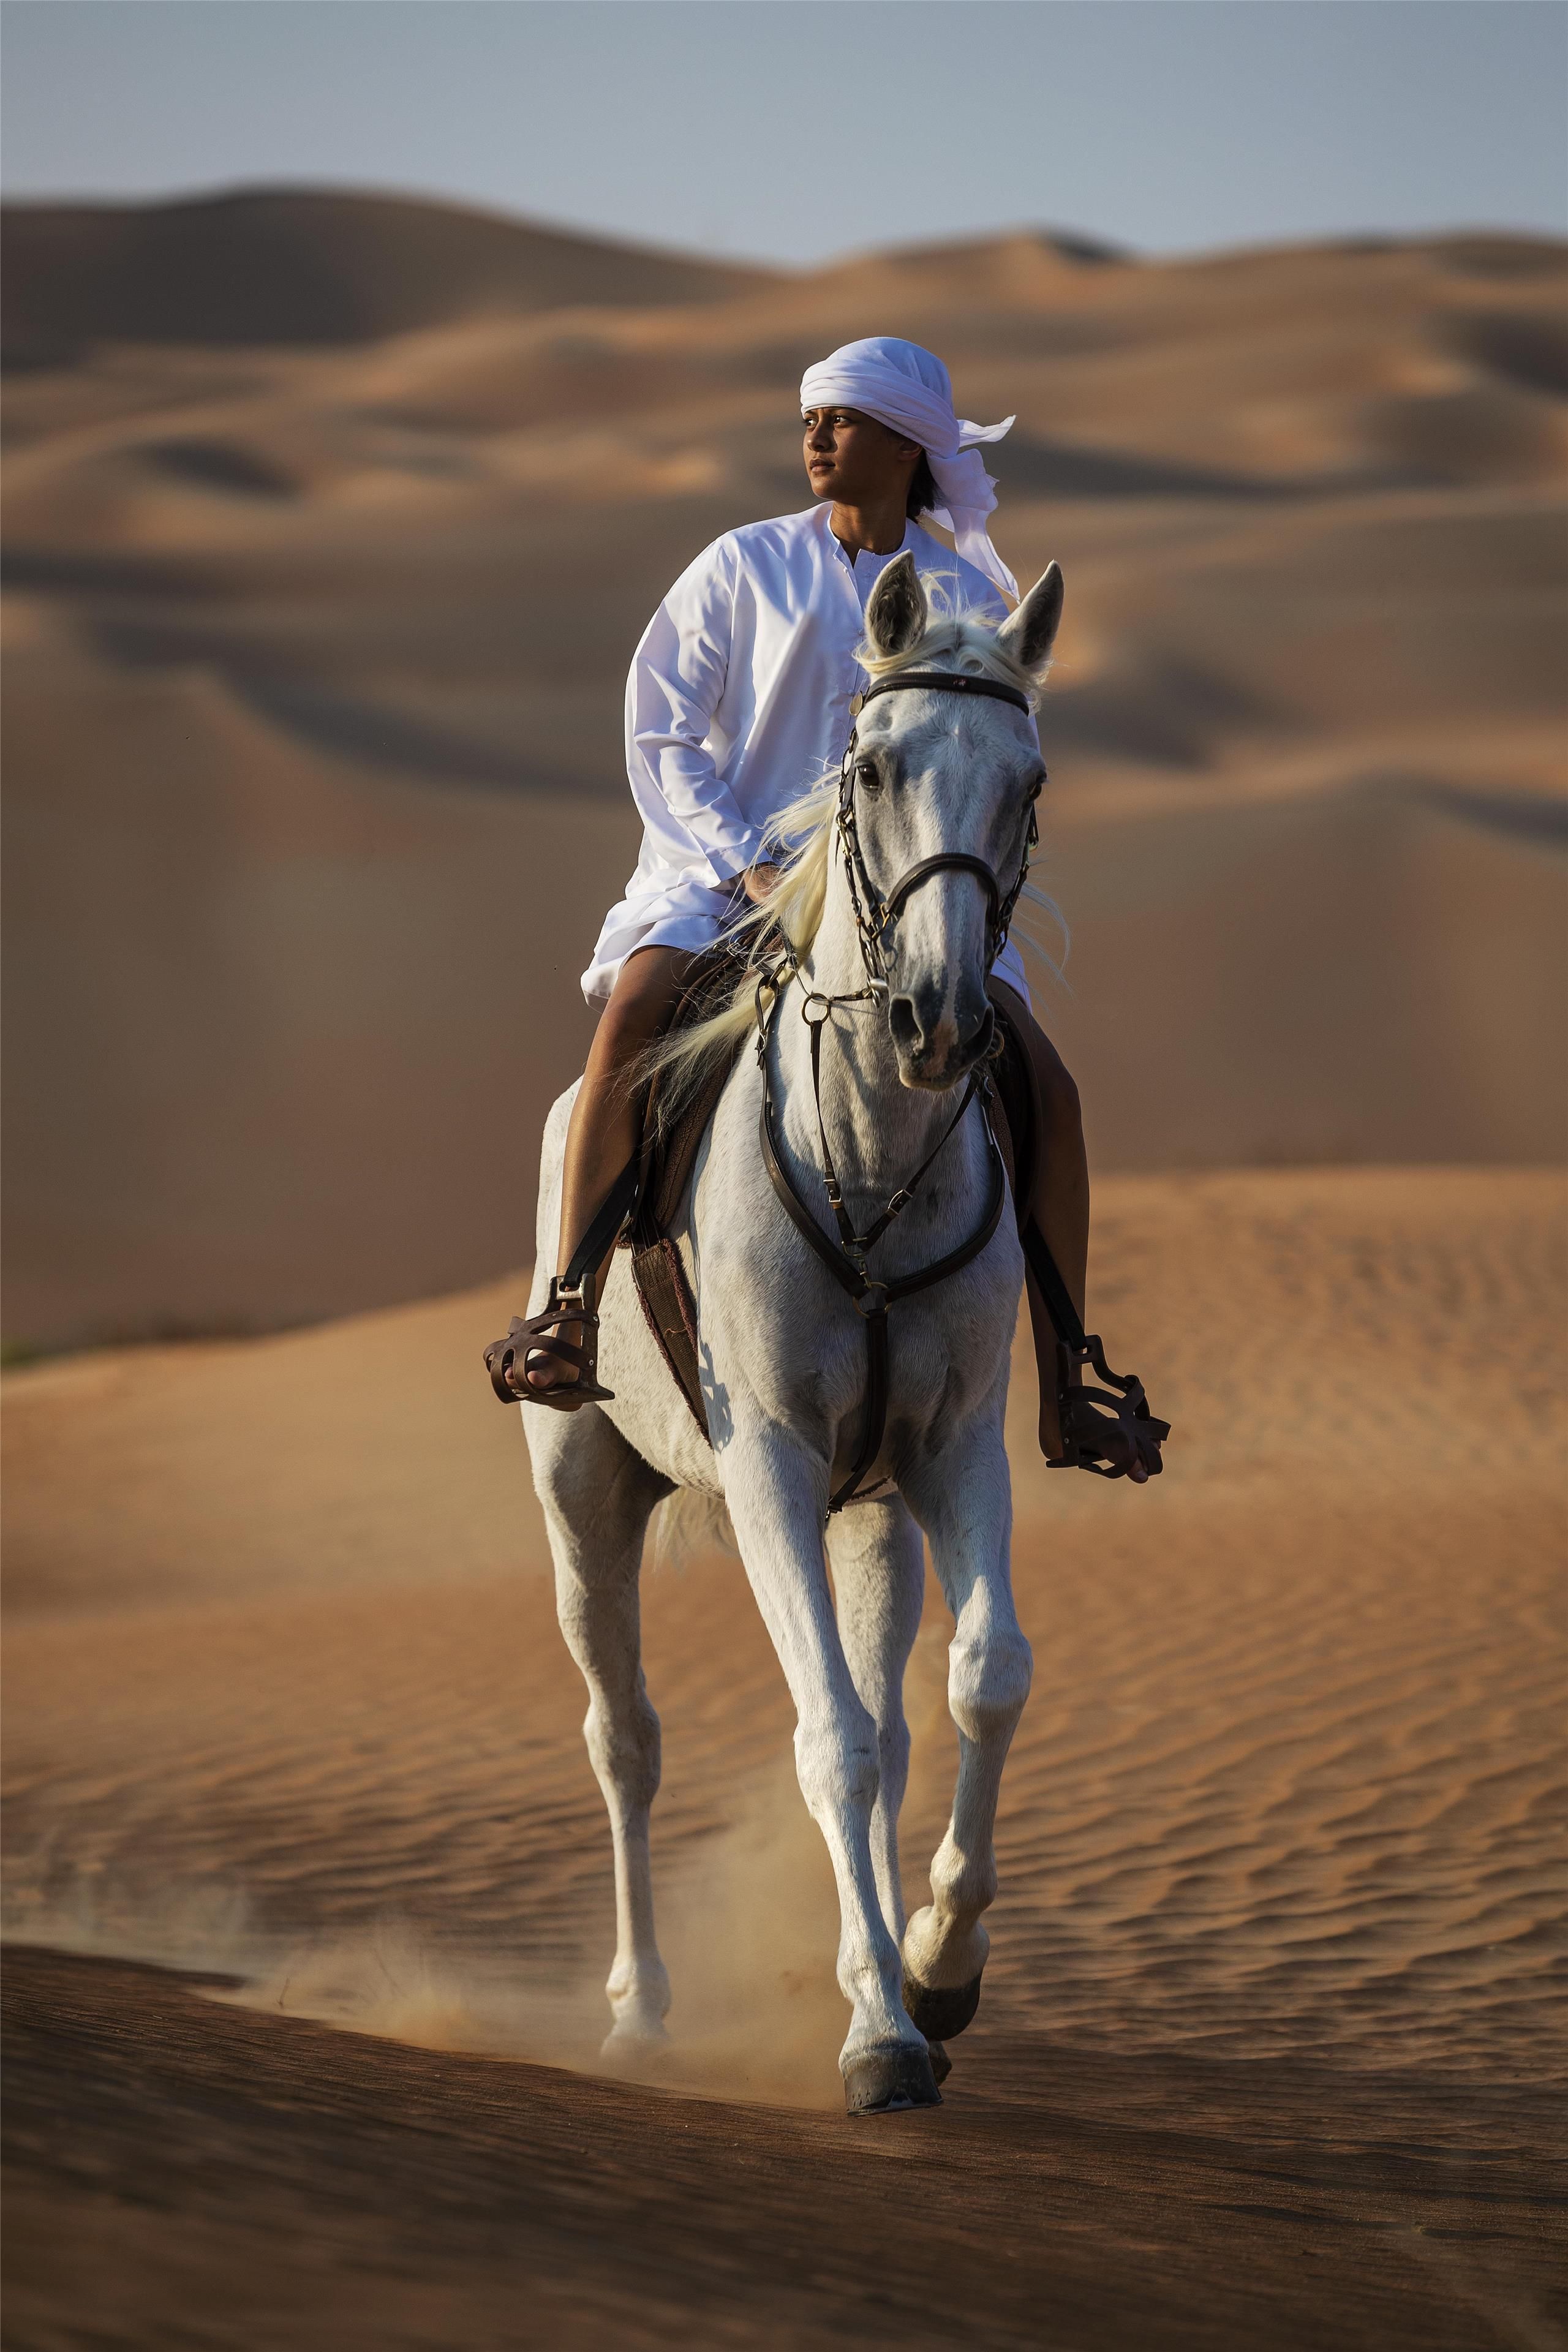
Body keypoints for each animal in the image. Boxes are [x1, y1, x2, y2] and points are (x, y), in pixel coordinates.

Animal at [516, 550, 1065, 2114]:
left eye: (1029, 782)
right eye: (869, 766)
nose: (936, 1018)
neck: (869, 1161)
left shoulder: (948, 1451)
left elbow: (980, 1682)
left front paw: (935, 1971)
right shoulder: (764, 1460)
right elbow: (824, 1741)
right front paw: (879, 2033)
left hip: (865, 1514)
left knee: (890, 1719)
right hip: (584, 1493)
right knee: (625, 1741)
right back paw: (639, 2011)